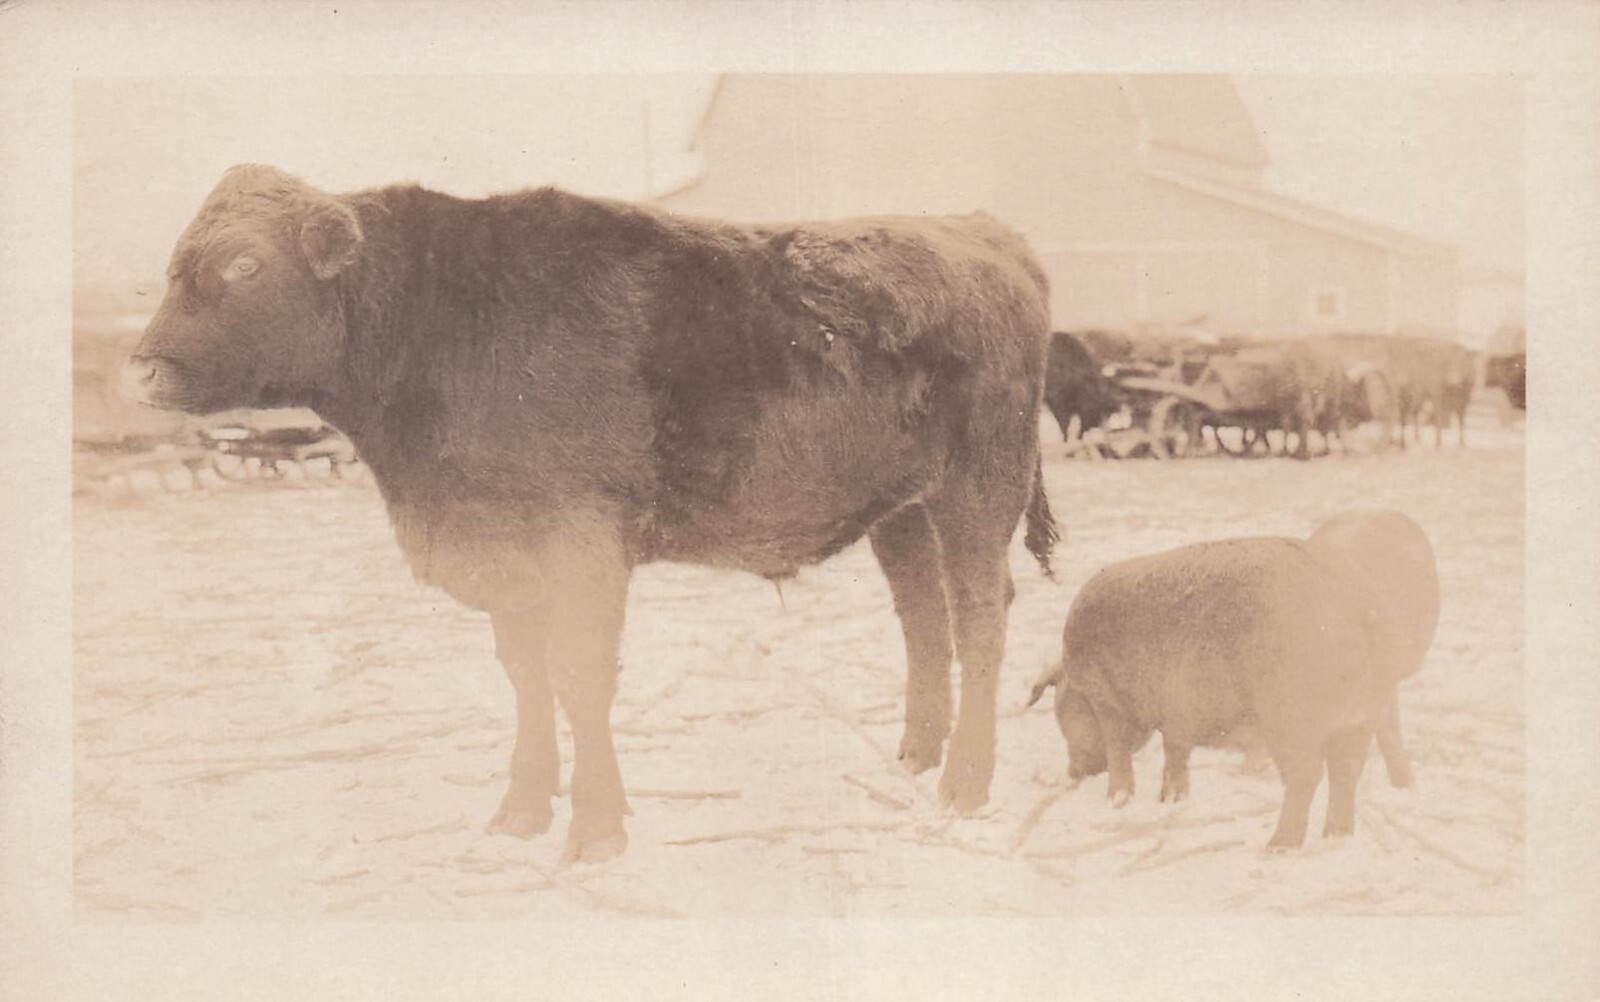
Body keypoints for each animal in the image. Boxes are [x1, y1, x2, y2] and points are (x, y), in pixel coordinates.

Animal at [121, 165, 1059, 863]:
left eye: (244, 266)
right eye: (174, 265)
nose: (142, 370)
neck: (447, 320)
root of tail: (981, 231)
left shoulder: (582, 545)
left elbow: (577, 678)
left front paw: (598, 829)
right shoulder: (508, 561)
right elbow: (528, 680)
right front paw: (522, 810)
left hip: (978, 489)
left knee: (979, 618)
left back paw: (965, 784)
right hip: (900, 512)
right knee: (923, 619)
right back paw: (916, 758)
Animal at [1028, 510, 1438, 849]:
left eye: (1061, 709)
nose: (1074, 773)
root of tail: (1363, 610)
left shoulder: (1109, 701)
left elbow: (1119, 752)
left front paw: (1117, 801)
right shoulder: (1177, 712)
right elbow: (1175, 753)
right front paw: (1171, 800)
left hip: (1289, 713)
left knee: (1307, 775)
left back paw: (1278, 847)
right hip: (1360, 714)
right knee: (1347, 772)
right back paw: (1336, 838)